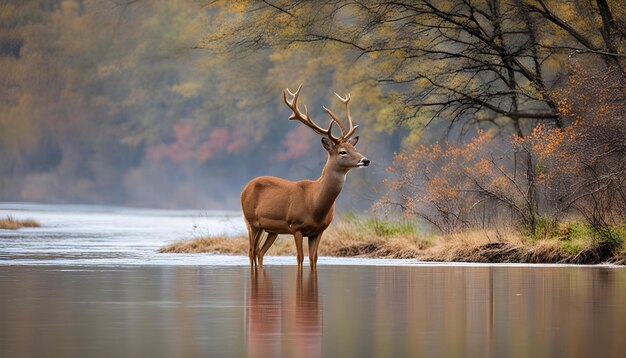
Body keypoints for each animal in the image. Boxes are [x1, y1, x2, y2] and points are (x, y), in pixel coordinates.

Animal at [238, 84, 366, 268]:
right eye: (343, 151)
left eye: (354, 148)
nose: (365, 160)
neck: (314, 203)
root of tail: (245, 187)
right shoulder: (296, 226)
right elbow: (300, 258)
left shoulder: (319, 230)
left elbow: (314, 258)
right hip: (251, 221)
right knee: (251, 252)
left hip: (272, 230)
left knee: (259, 252)